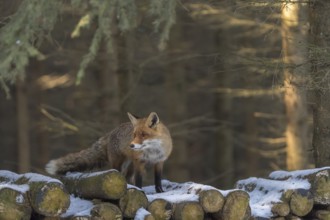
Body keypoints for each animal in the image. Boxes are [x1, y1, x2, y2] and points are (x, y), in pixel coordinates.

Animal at [45, 111, 173, 192]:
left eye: (143, 135)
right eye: (134, 135)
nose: (131, 145)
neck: (152, 151)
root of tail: (111, 132)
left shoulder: (159, 161)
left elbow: (158, 179)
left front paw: (160, 191)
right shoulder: (139, 162)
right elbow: (139, 180)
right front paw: (140, 190)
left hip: (130, 164)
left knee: (127, 177)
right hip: (119, 163)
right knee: (120, 175)